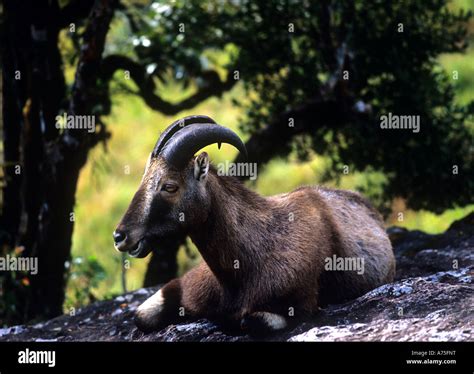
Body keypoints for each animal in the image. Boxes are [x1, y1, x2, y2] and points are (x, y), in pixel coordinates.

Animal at [115, 114, 396, 334]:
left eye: (170, 186)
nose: (120, 236)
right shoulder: (189, 285)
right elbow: (141, 316)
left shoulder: (299, 303)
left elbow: (250, 322)